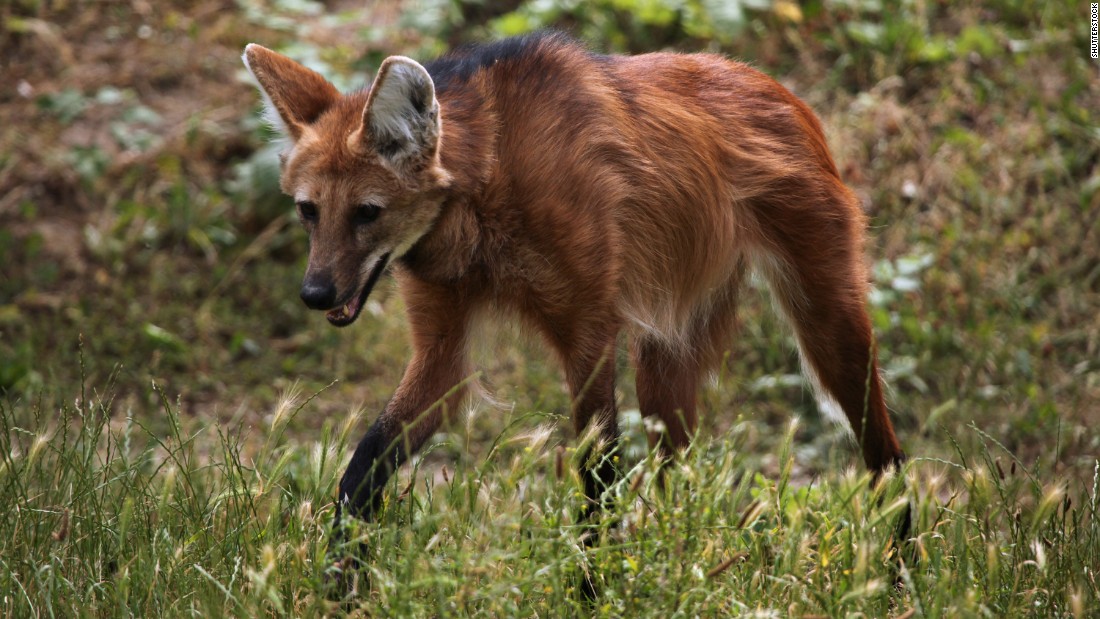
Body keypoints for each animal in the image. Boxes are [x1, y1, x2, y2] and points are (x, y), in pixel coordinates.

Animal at [245, 31, 906, 538]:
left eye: (367, 213)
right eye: (308, 211)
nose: (315, 295)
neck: (485, 189)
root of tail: (780, 89)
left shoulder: (587, 330)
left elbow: (598, 480)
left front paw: (594, 585)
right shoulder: (443, 345)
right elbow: (364, 465)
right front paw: (339, 581)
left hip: (827, 320)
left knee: (886, 456)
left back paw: (896, 571)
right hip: (665, 352)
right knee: (678, 474)